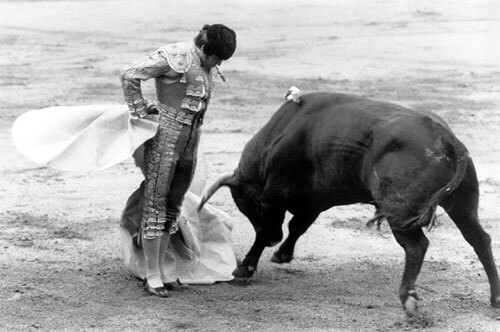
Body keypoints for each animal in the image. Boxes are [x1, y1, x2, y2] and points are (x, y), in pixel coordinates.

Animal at [197, 91, 498, 312]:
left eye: (249, 205)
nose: (275, 240)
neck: (277, 137)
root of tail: (446, 137)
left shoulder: (275, 197)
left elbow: (268, 231)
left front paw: (245, 267)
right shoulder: (313, 203)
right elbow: (297, 227)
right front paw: (282, 254)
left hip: (400, 209)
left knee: (417, 246)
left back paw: (408, 298)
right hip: (462, 203)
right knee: (479, 239)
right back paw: (495, 298)